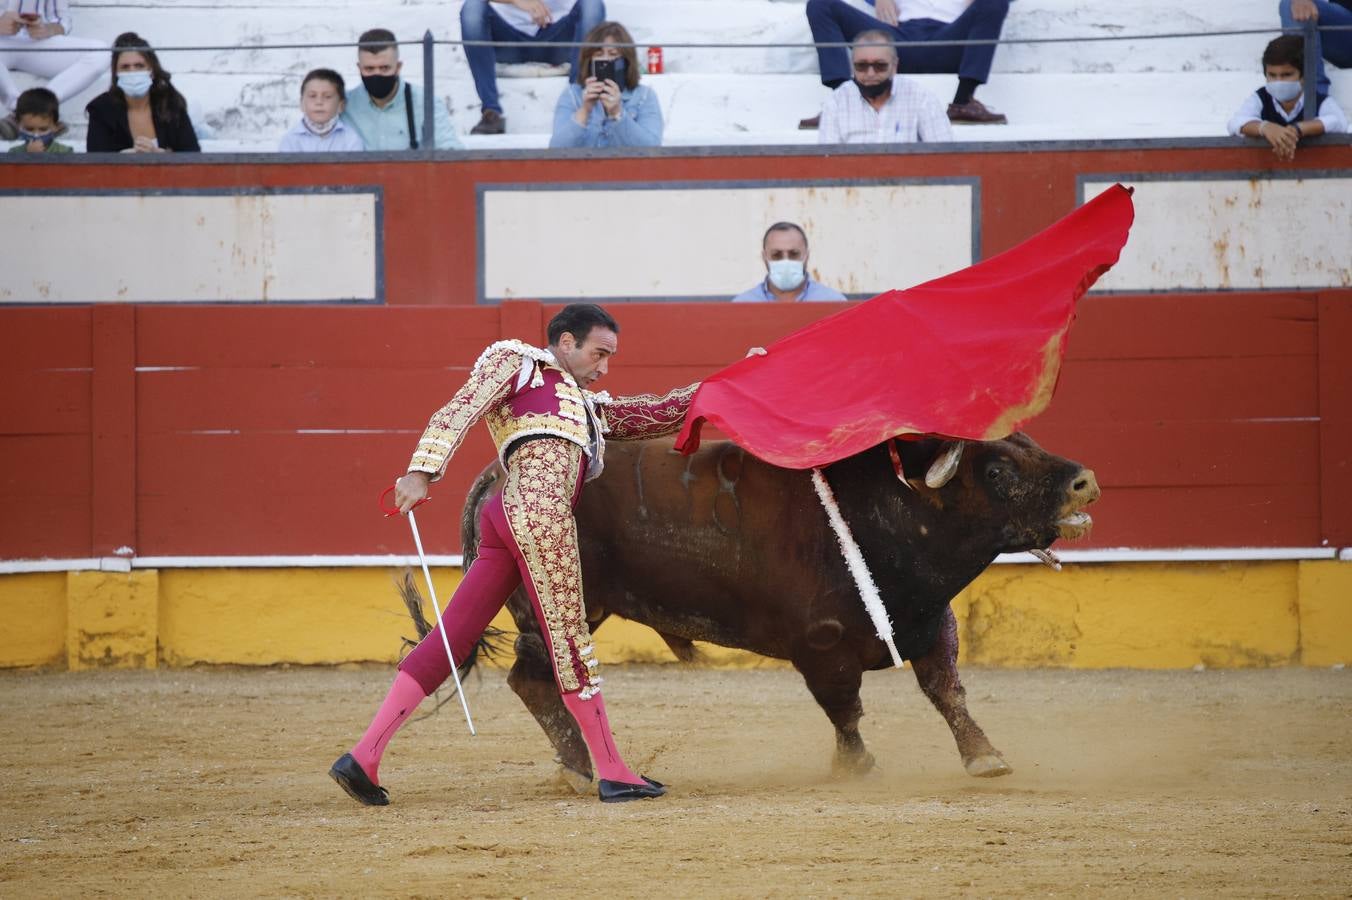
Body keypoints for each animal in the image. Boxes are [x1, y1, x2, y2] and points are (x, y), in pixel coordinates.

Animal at [456, 432, 1097, 783]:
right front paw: (855, 767)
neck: (889, 514)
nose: (1085, 481)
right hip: (561, 608)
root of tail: (496, 471)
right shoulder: (822, 646)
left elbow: (949, 694)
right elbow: (846, 710)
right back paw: (578, 767)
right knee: (534, 677)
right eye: (998, 471)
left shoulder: (932, 621)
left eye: (1030, 444)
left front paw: (985, 756)